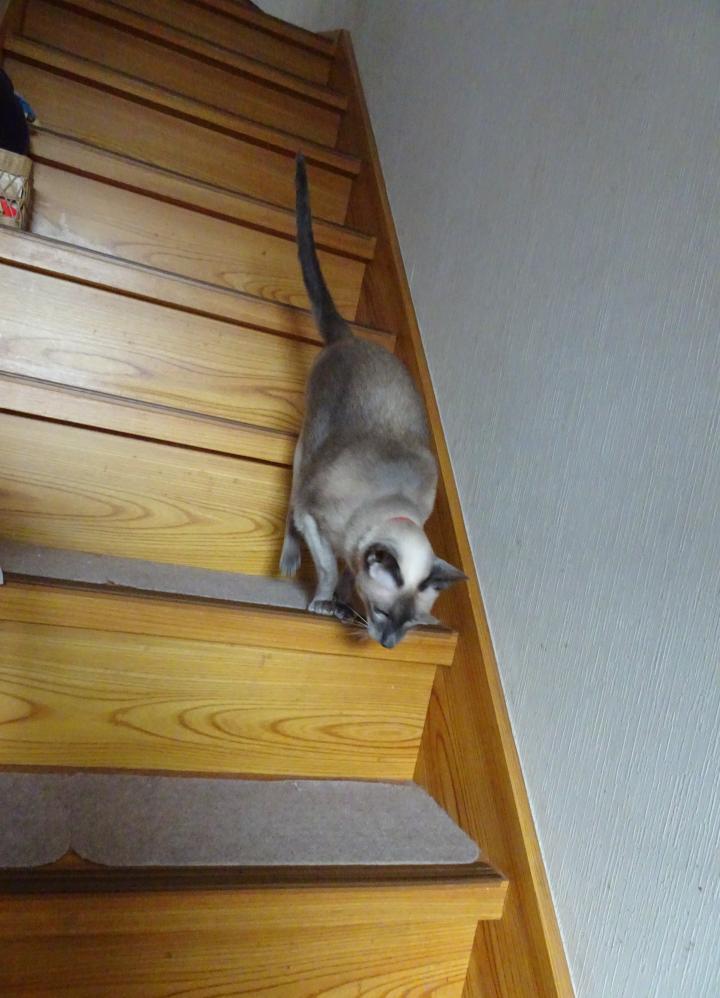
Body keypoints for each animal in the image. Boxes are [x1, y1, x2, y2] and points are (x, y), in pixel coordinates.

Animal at [280, 154, 465, 648]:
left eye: (411, 624)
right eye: (383, 613)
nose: (387, 644)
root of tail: (350, 337)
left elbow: (347, 571)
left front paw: (344, 602)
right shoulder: (315, 519)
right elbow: (329, 569)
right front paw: (325, 603)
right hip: (305, 453)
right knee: (288, 508)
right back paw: (288, 563)